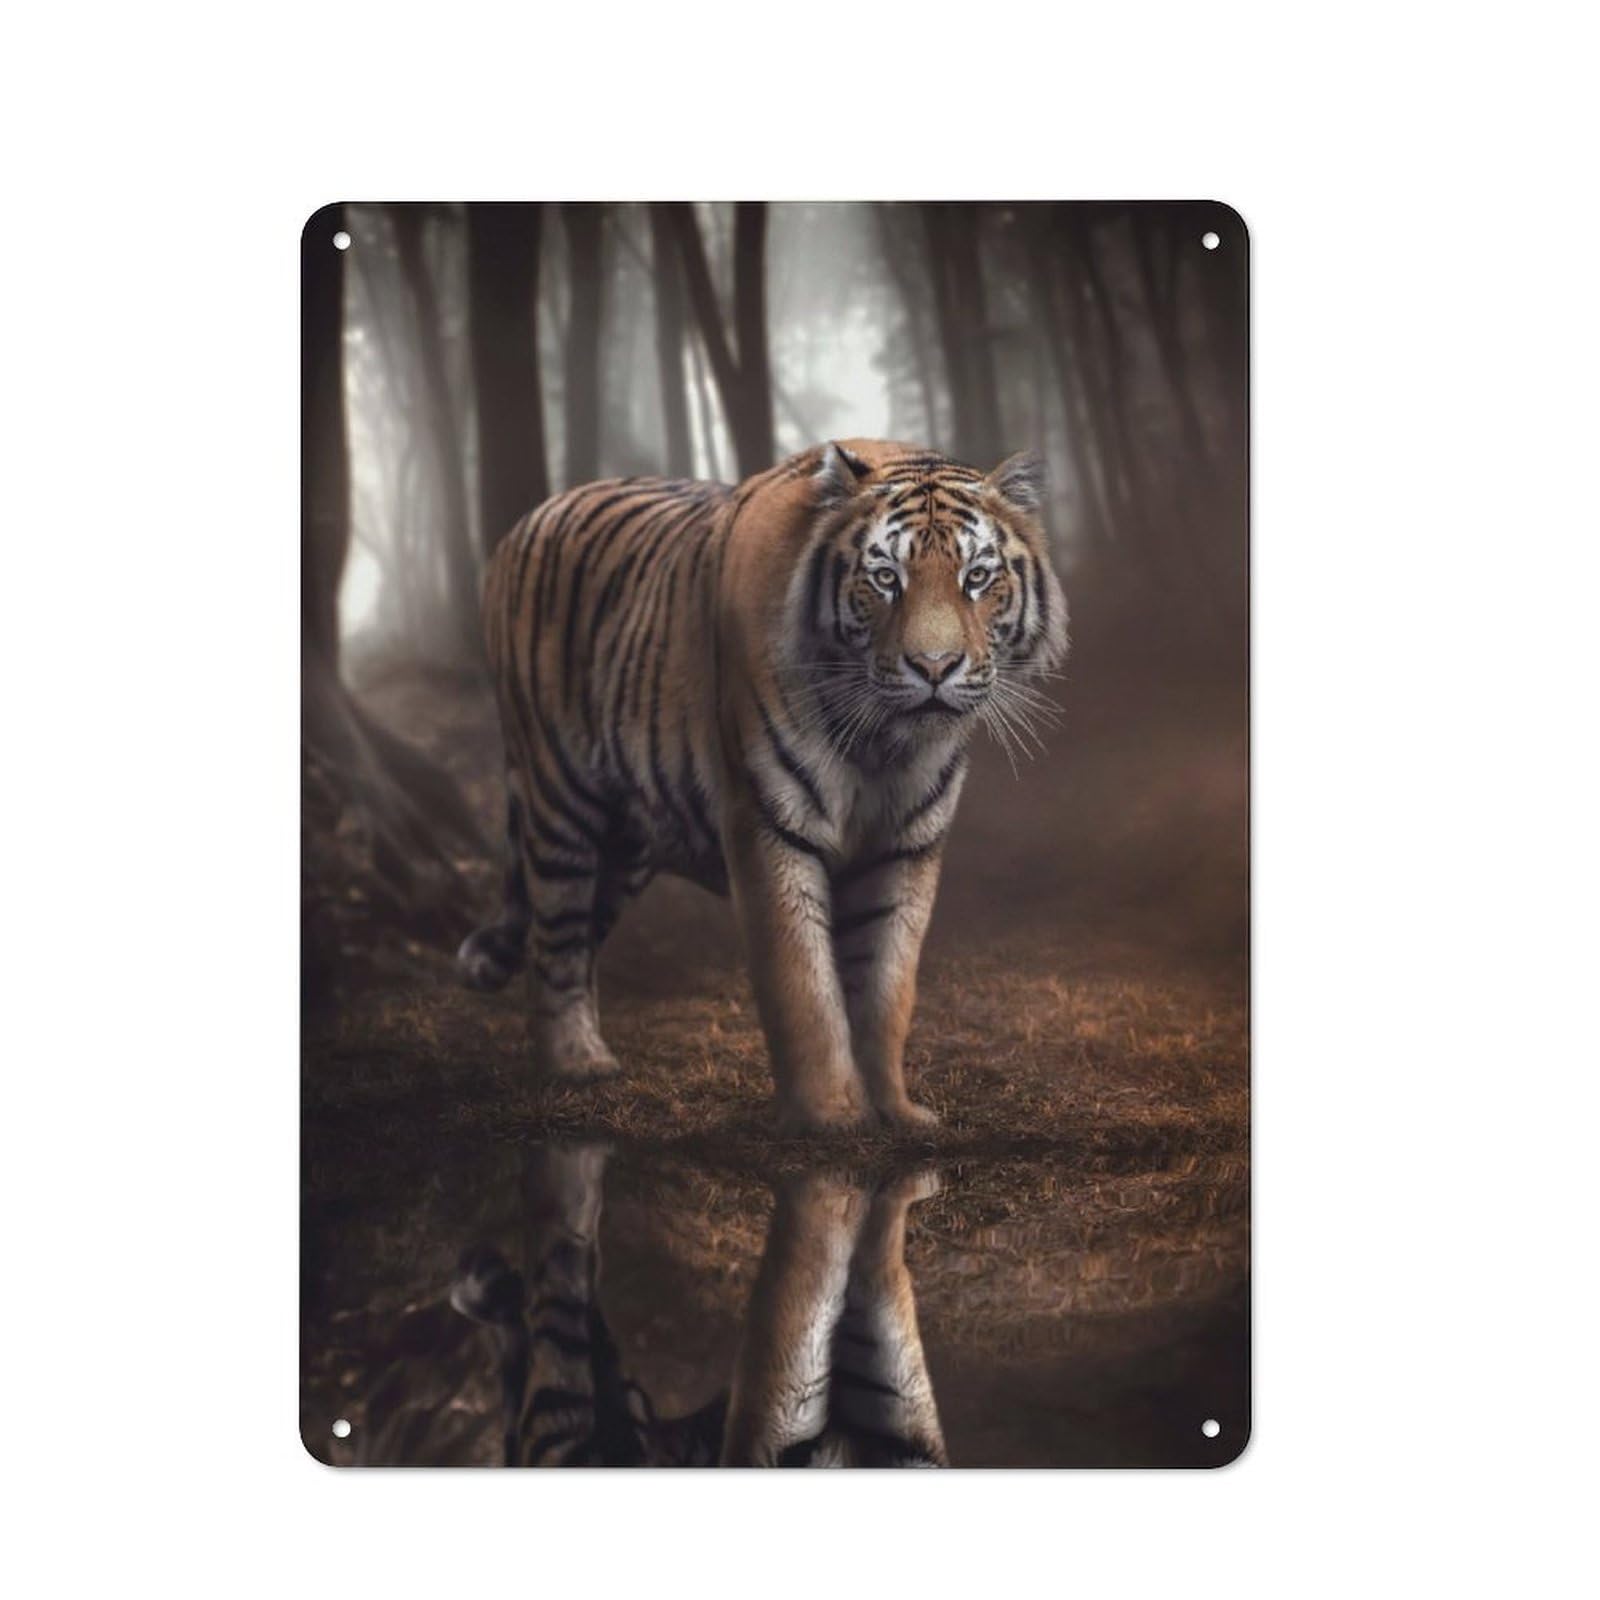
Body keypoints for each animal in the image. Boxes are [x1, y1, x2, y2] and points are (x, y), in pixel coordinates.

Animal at [458, 439, 1068, 1133]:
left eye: (978, 578)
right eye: (886, 578)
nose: (934, 667)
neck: (882, 745)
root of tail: (528, 519)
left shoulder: (907, 847)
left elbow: (887, 985)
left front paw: (894, 1111)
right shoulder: (770, 825)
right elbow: (803, 982)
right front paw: (830, 1116)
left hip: (627, 842)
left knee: (581, 938)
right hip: (561, 799)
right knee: (553, 943)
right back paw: (575, 1064)